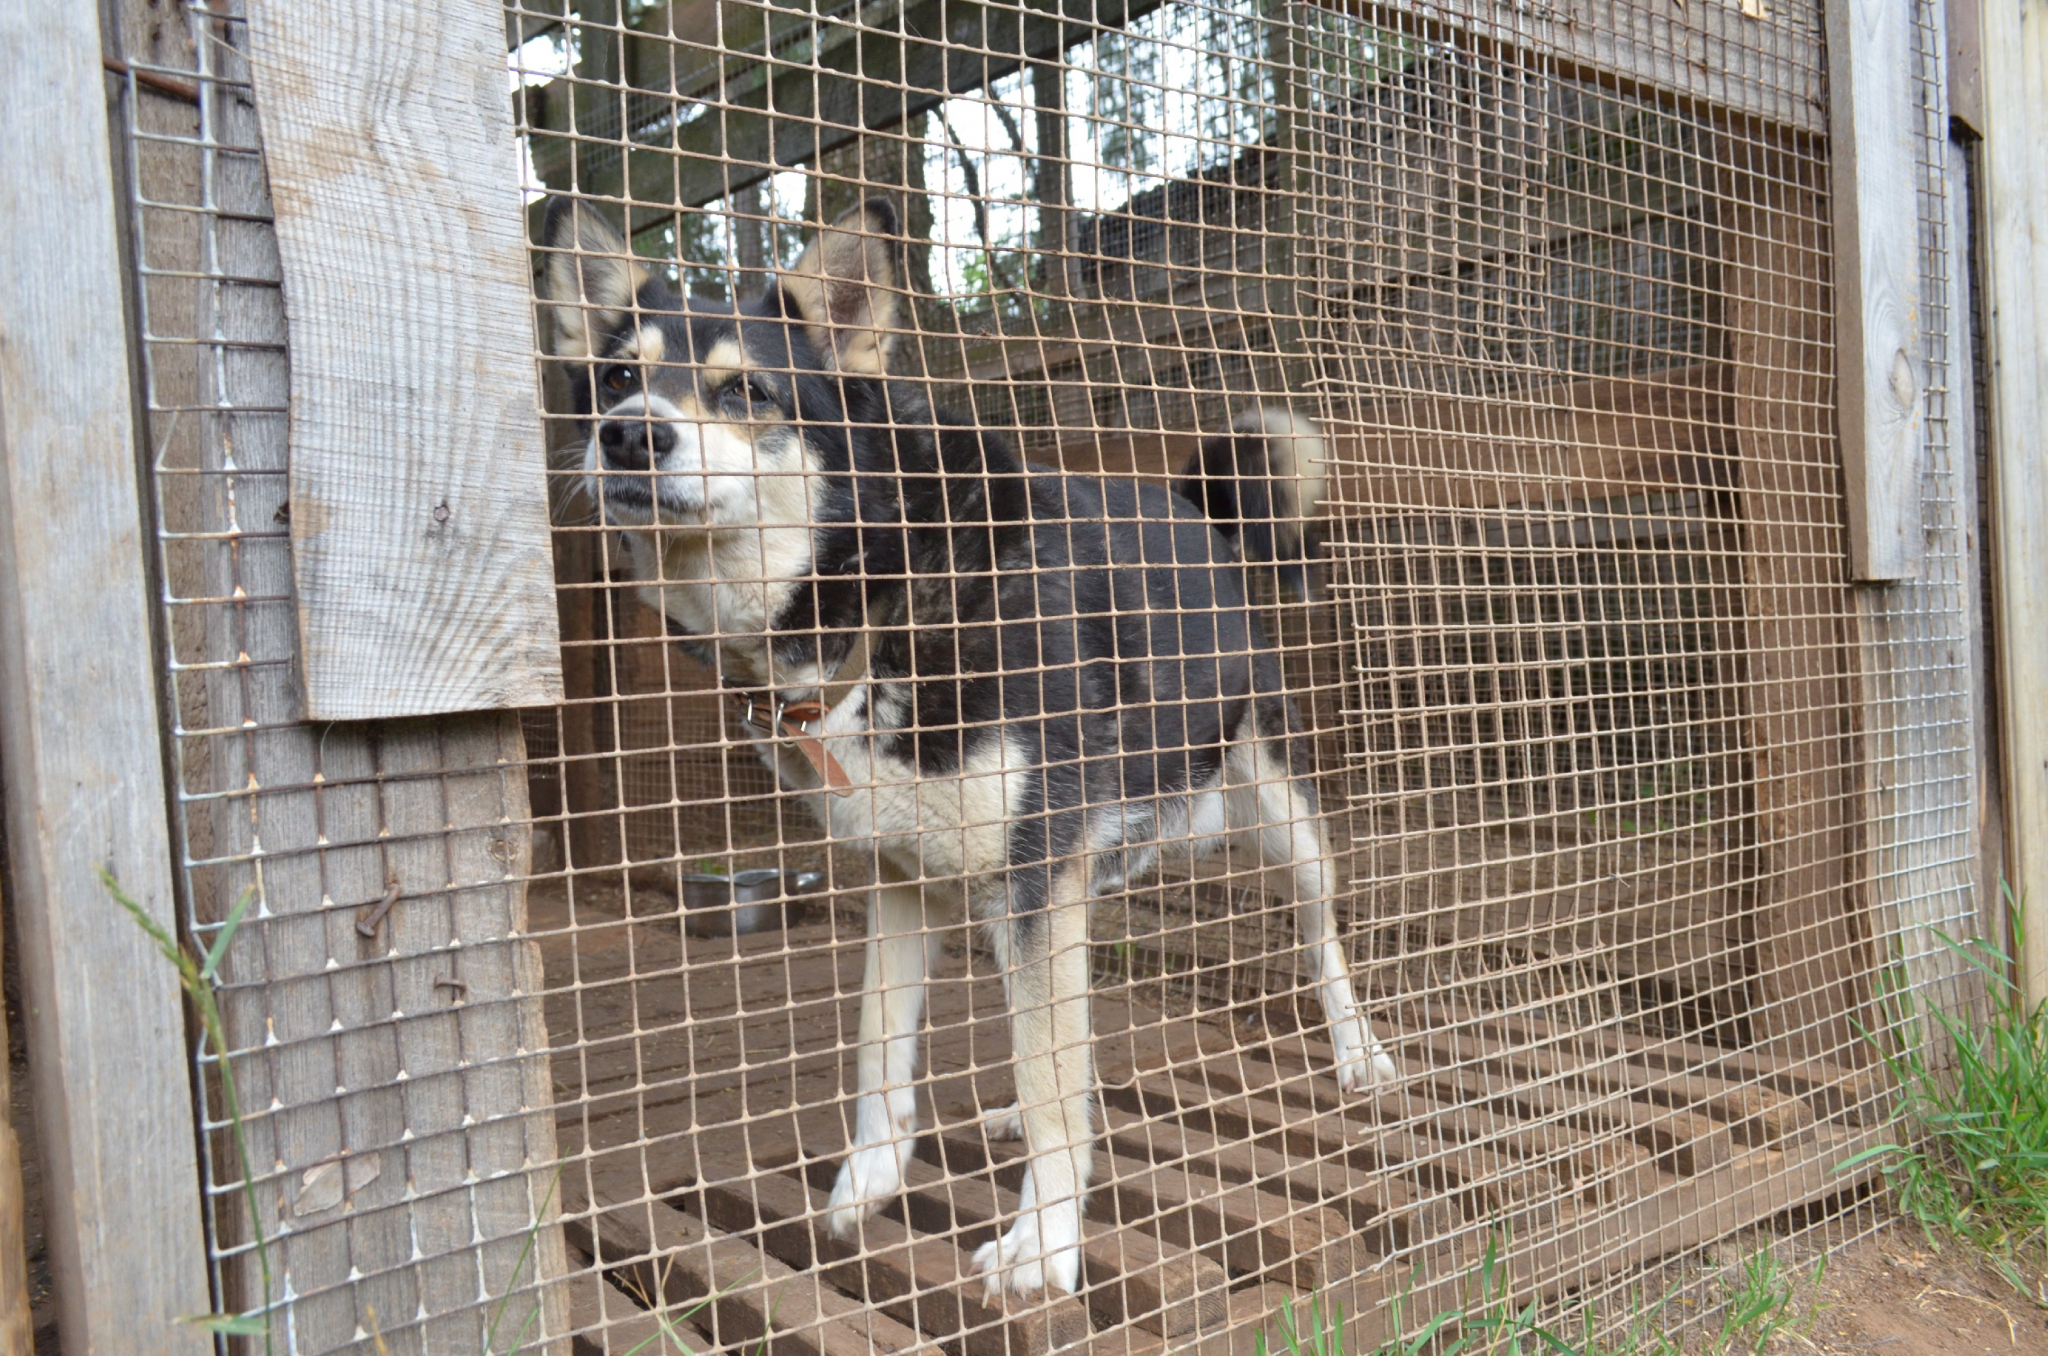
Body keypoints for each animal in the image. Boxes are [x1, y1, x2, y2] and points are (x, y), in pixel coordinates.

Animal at [536, 196, 1400, 1302]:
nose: (630, 435)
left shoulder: (1035, 869)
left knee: (1318, 936)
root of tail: (1185, 504)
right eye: (614, 377)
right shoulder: (901, 875)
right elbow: (886, 1044)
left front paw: (1043, 1243)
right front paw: (865, 1185)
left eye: (746, 390)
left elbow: (1048, 1068)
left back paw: (1356, 1055)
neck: (882, 586)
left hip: (1275, 815)